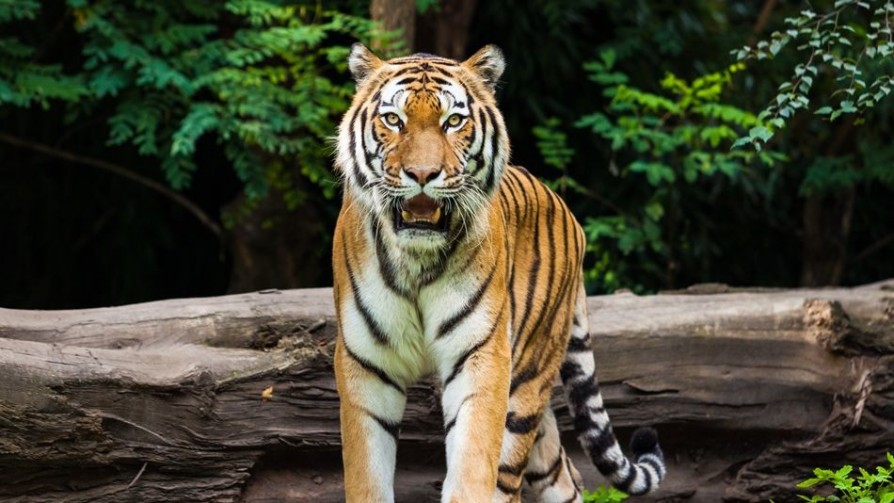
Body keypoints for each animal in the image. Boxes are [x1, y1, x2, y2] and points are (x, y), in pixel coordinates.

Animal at [331, 43, 666, 503]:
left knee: (511, 474)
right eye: (394, 120)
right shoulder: (366, 365)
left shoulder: (482, 357)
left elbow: (473, 465)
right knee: (562, 474)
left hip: (526, 381)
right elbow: (366, 475)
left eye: (453, 121)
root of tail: (567, 211)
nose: (422, 175)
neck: (417, 260)